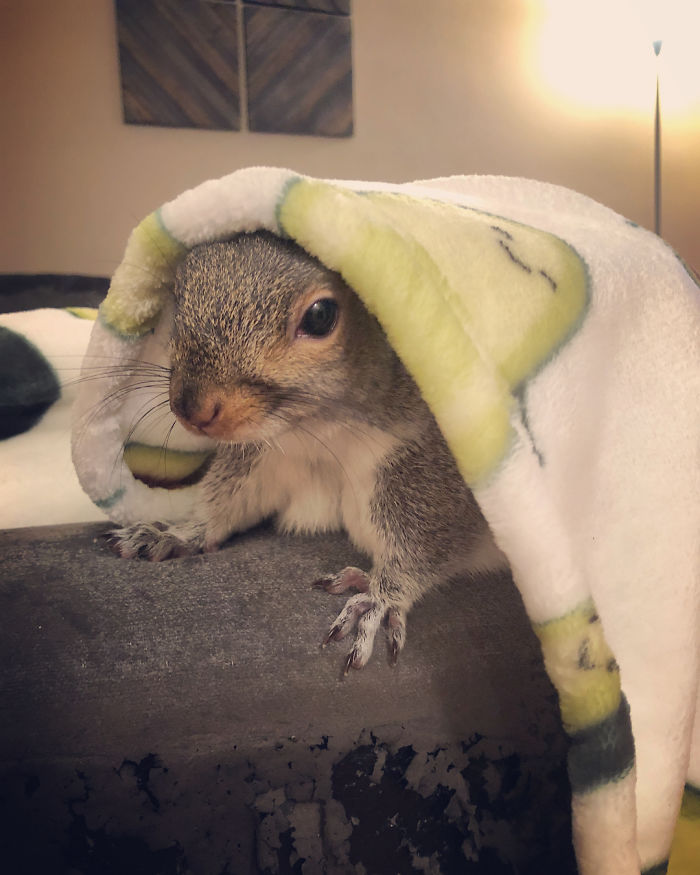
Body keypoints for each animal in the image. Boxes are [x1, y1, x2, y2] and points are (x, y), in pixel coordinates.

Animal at [109, 231, 507, 671]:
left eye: (320, 316)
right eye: (178, 293)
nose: (191, 408)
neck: (318, 430)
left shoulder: (432, 468)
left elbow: (430, 541)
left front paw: (378, 600)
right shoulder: (269, 457)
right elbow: (229, 500)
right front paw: (180, 531)